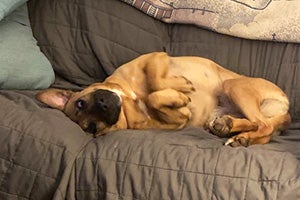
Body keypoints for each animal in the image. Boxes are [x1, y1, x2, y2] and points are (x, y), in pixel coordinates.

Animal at [36, 52, 292, 146]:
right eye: (91, 128)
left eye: (81, 102)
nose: (103, 103)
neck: (128, 100)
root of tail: (287, 109)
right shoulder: (179, 118)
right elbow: (156, 98)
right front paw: (177, 95)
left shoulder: (155, 57)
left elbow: (155, 85)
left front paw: (181, 87)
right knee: (262, 127)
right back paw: (234, 131)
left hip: (233, 85)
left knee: (263, 124)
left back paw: (238, 133)